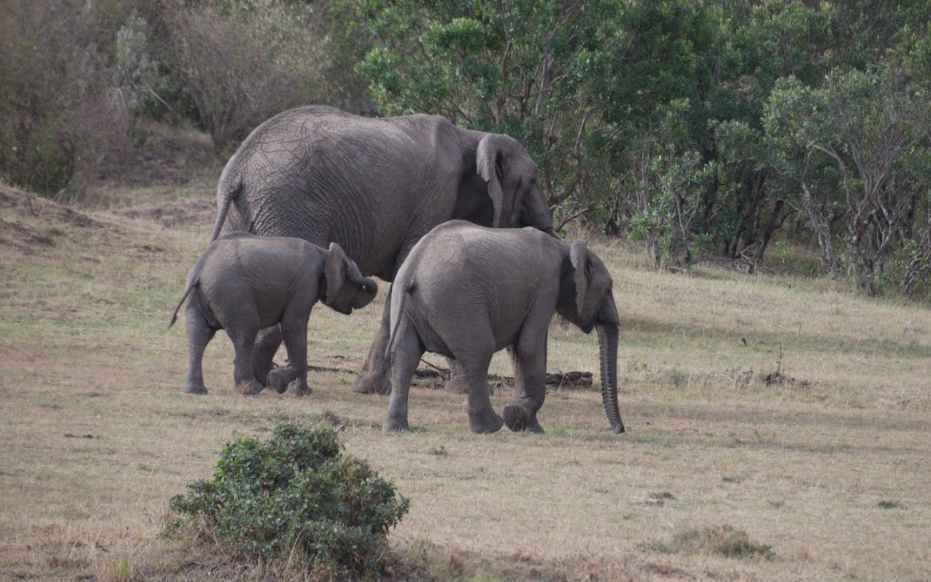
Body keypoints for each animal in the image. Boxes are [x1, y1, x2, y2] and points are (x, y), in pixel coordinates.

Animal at [168, 233, 377, 396]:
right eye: (351, 281)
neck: (325, 252)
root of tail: (200, 271)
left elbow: (297, 330)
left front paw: (300, 391)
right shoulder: (305, 284)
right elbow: (292, 326)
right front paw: (282, 382)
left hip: (198, 297)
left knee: (198, 335)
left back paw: (196, 391)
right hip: (233, 295)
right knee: (245, 333)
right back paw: (252, 390)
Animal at [208, 105, 557, 396]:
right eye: (533, 180)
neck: (474, 135)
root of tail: (236, 172)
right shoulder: (436, 198)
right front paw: (374, 389)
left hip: (248, 213)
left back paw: (261, 380)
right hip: (288, 207)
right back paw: (270, 383)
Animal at [382, 221, 625, 435]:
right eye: (608, 289)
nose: (619, 430)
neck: (566, 248)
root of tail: (413, 268)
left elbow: (517, 351)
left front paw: (530, 427)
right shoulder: (546, 287)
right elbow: (529, 346)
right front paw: (517, 416)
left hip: (408, 304)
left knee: (404, 356)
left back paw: (398, 428)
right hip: (458, 301)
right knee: (479, 351)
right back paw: (490, 427)